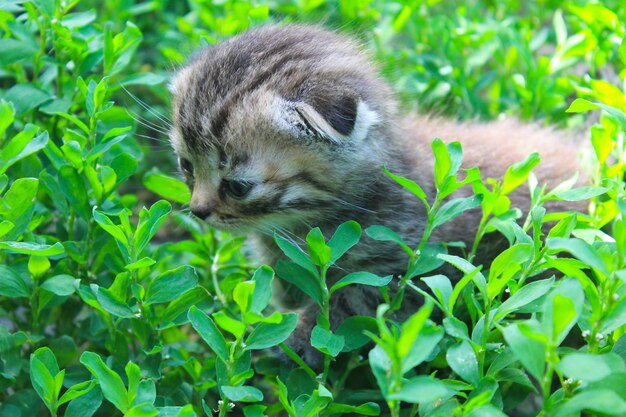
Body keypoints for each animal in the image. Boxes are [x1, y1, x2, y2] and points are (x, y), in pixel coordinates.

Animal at [167, 24, 584, 362]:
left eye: (238, 186)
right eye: (186, 166)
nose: (198, 211)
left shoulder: (414, 265)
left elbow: (351, 298)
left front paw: (293, 337)